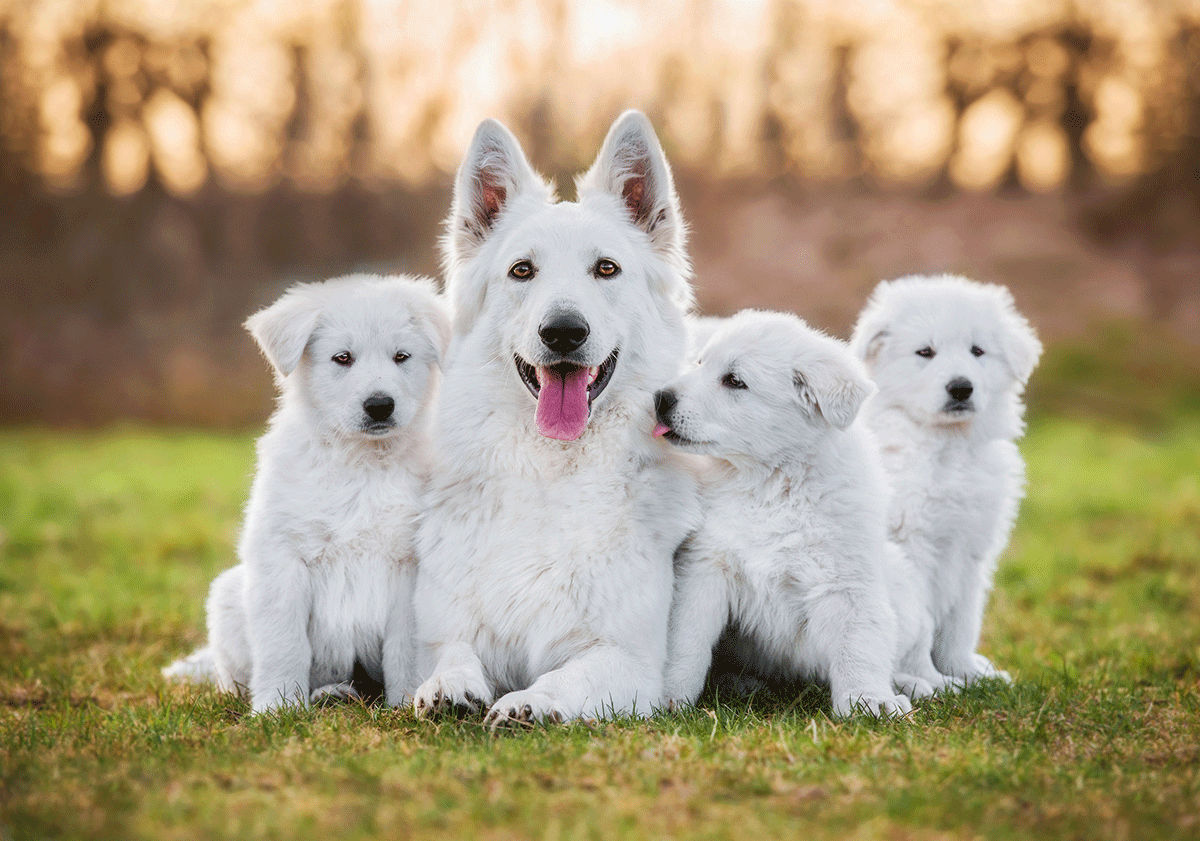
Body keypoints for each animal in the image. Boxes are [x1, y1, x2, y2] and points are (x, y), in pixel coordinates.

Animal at [164, 273, 451, 710]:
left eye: (402, 356)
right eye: (342, 358)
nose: (380, 405)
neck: (360, 463)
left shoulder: (410, 564)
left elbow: (404, 647)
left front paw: (404, 703)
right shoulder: (282, 556)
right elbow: (284, 643)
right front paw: (276, 707)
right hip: (228, 595)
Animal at [410, 111, 700, 724]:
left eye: (606, 269)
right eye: (523, 270)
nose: (563, 332)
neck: (552, 471)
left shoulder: (629, 663)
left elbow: (571, 675)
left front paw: (531, 701)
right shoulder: (441, 632)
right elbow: (453, 653)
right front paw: (449, 686)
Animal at [657, 311, 907, 719]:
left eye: (734, 381)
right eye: (700, 362)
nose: (660, 398)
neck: (771, 483)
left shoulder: (846, 580)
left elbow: (859, 646)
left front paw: (868, 702)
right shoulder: (704, 567)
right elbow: (685, 639)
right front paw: (667, 697)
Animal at [854, 277, 1041, 691]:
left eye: (977, 351)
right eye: (925, 352)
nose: (961, 388)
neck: (946, 447)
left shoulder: (971, 551)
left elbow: (961, 623)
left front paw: (967, 674)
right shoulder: (913, 549)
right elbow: (923, 625)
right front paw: (939, 682)